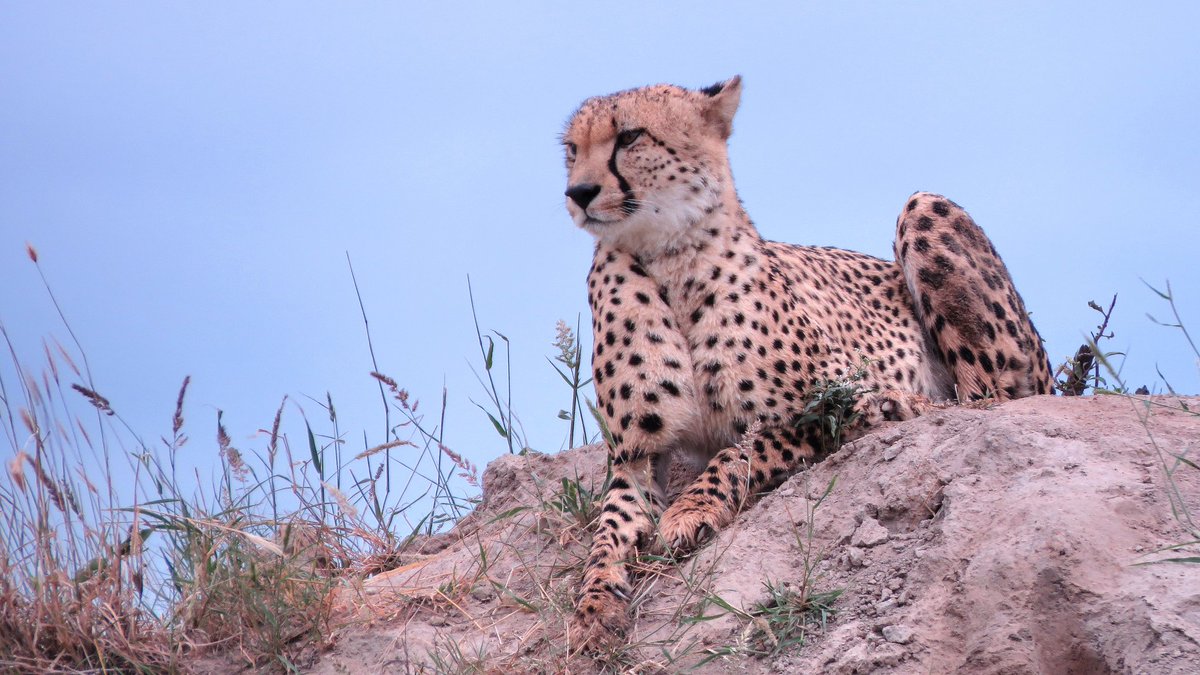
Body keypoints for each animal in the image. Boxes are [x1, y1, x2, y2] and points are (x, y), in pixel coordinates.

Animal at [560, 75, 1052, 650]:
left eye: (630, 136)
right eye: (572, 150)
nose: (578, 193)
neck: (668, 258)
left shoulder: (822, 409)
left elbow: (742, 450)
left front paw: (691, 509)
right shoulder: (635, 454)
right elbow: (608, 531)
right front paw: (594, 605)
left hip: (925, 209)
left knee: (985, 397)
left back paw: (898, 404)